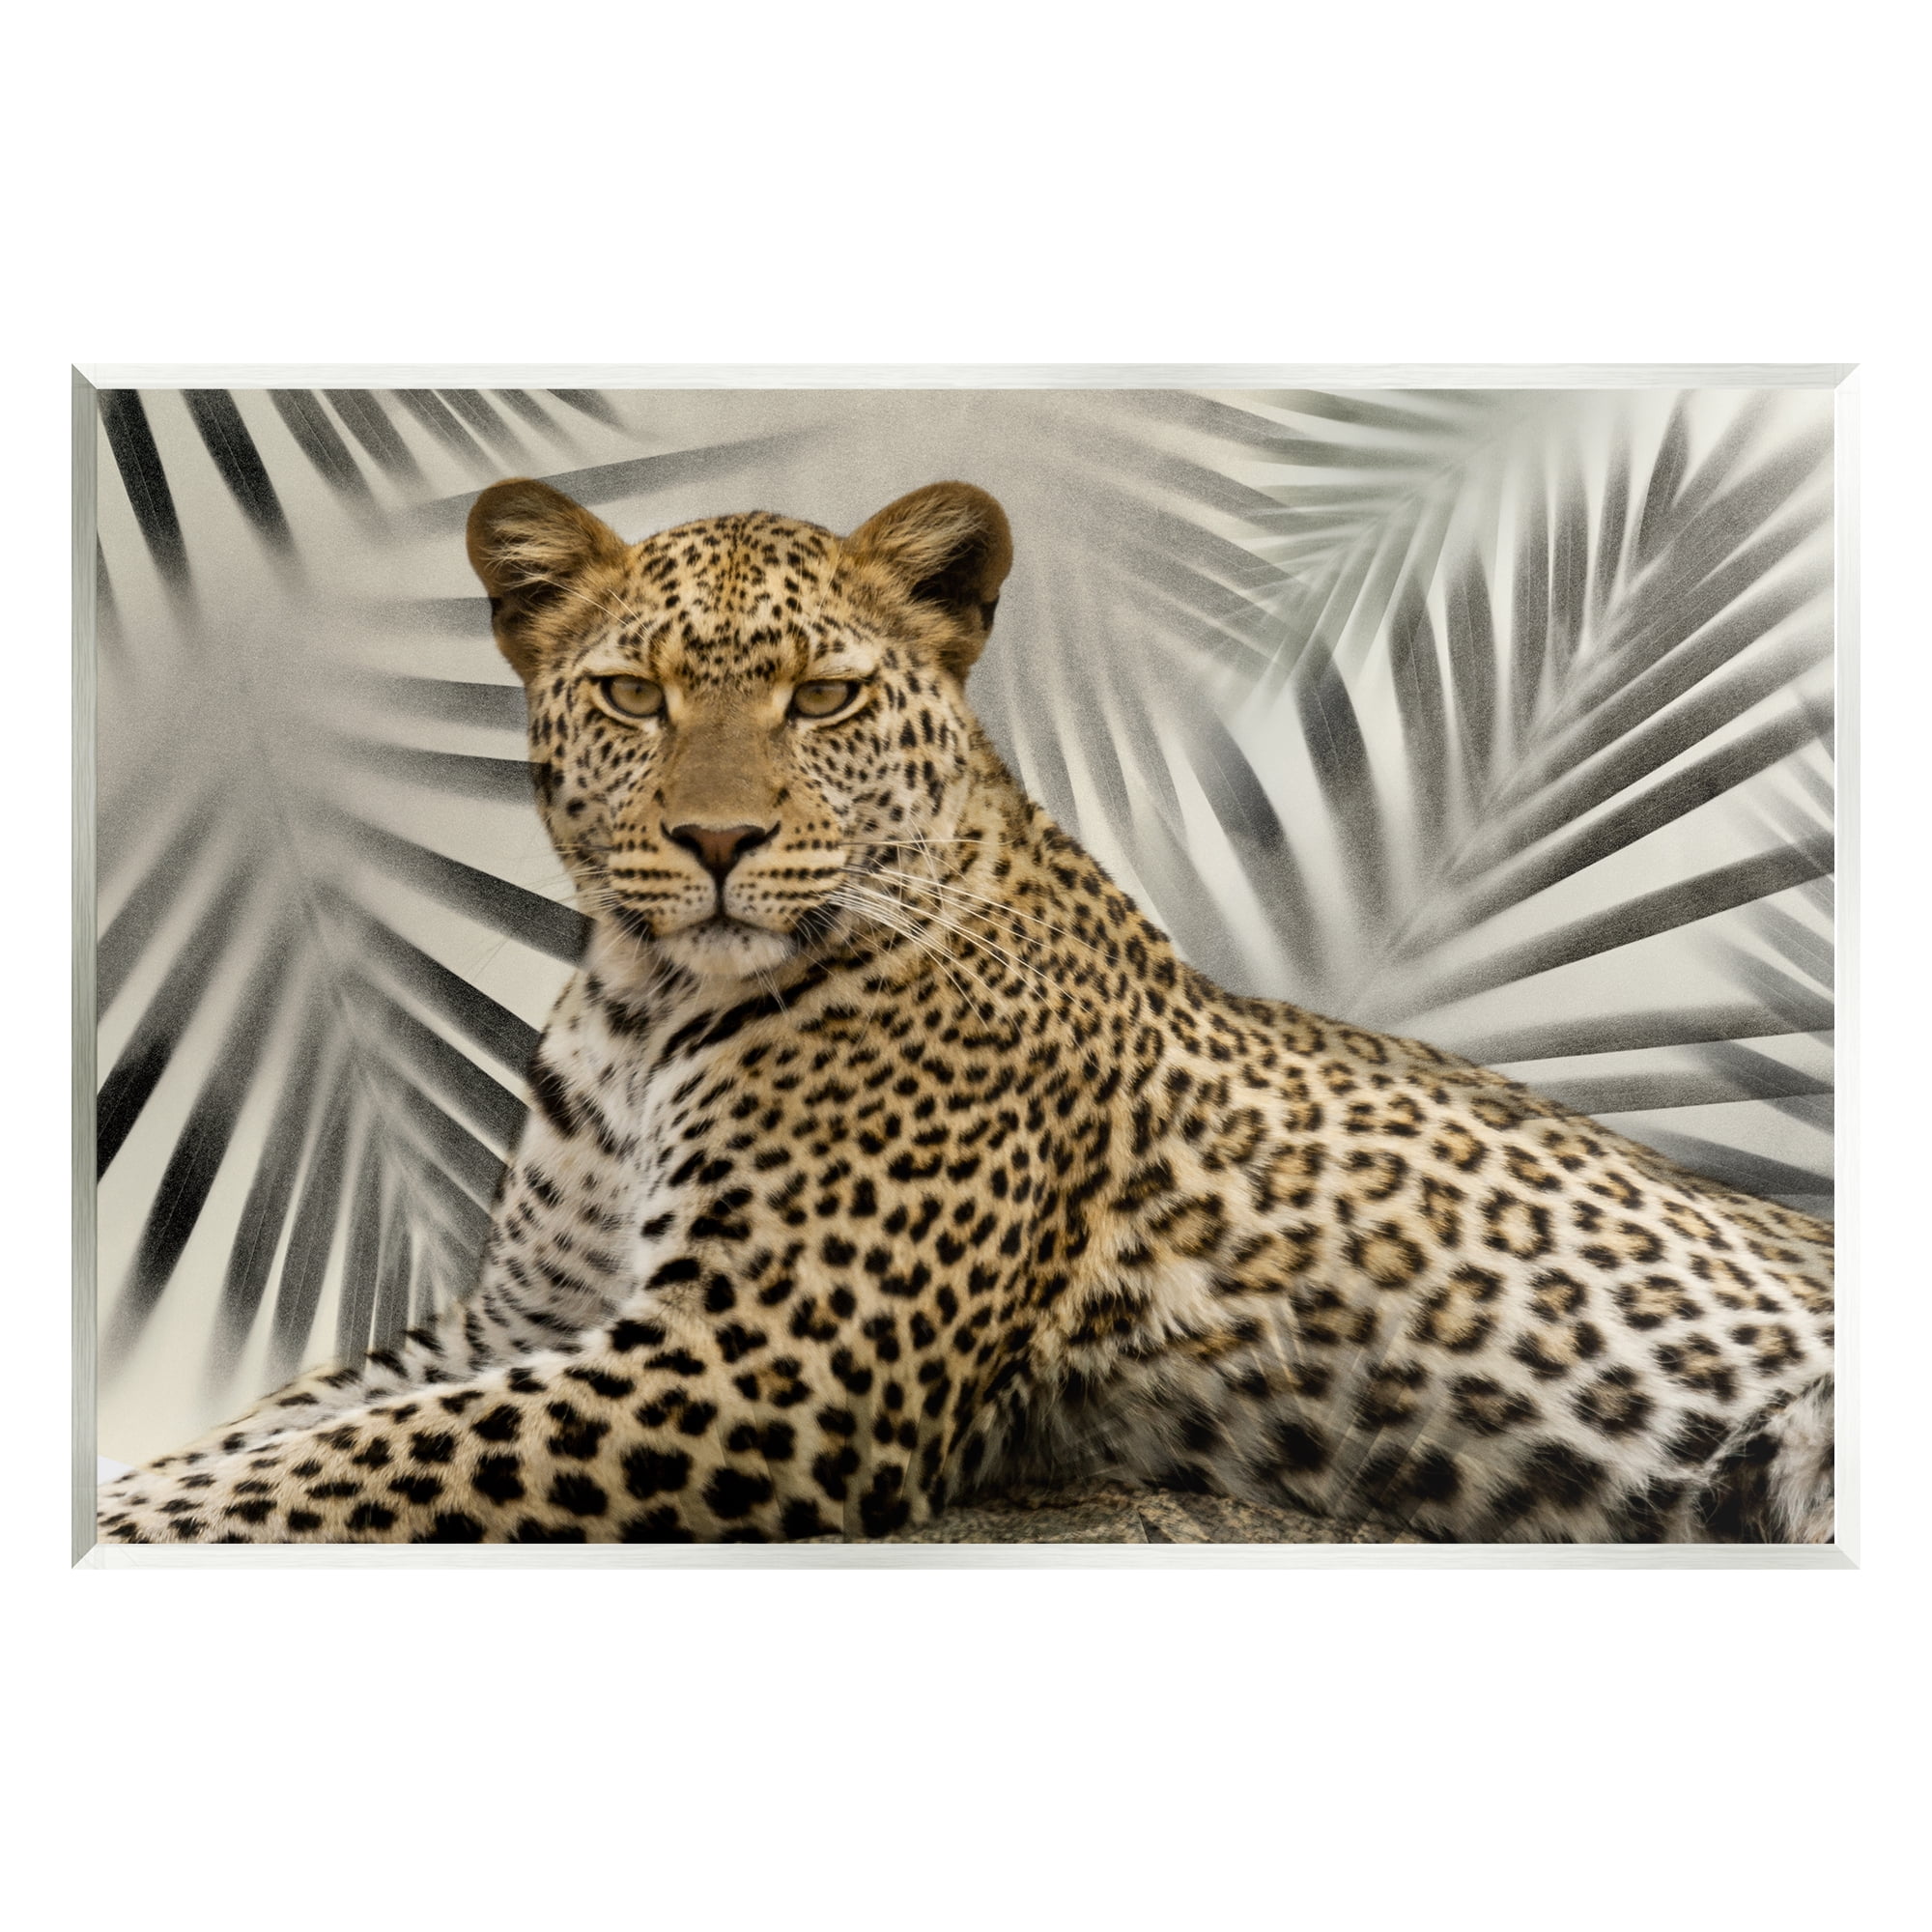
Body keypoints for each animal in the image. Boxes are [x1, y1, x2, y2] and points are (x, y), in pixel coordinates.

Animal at [96, 475, 1836, 1546]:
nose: (715, 842)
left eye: (822, 698)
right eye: (634, 696)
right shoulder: (525, 1314)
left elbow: (354, 1462)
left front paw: (129, 1518)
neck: (647, 1005)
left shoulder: (770, 1363)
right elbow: (289, 1423)